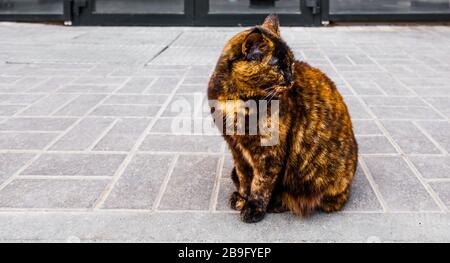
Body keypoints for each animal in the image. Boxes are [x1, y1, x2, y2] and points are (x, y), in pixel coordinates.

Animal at [207, 14, 358, 225]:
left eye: (292, 64)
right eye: (278, 67)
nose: (291, 79)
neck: (238, 98)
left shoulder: (271, 151)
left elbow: (262, 182)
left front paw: (254, 208)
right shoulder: (236, 147)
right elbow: (245, 176)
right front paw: (243, 197)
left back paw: (279, 203)